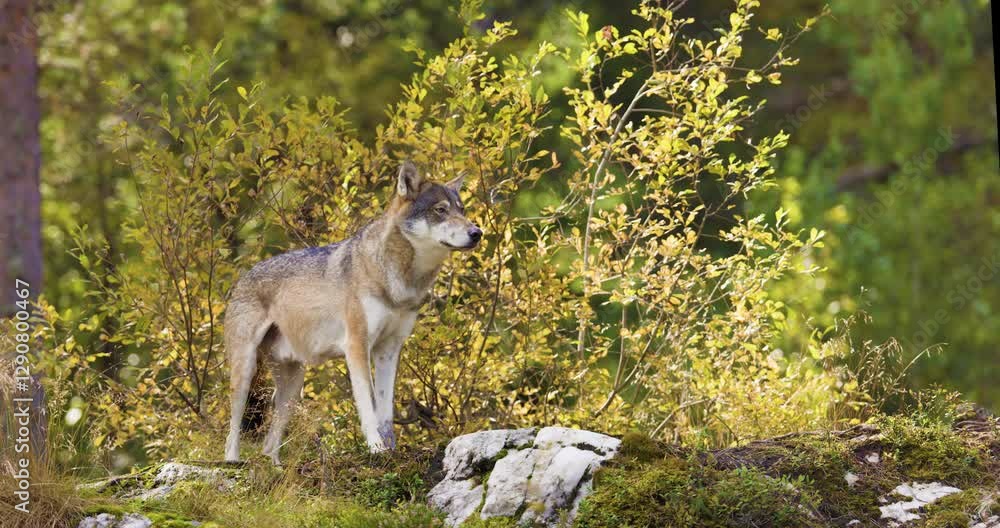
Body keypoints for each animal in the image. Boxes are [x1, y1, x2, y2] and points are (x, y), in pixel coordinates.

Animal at [223, 161, 482, 464]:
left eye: (461, 209)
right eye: (440, 210)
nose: (477, 232)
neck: (399, 279)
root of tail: (242, 278)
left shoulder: (389, 349)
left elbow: (385, 409)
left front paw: (390, 450)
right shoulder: (357, 346)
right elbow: (368, 405)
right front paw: (375, 448)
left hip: (293, 386)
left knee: (269, 443)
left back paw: (275, 466)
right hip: (246, 371)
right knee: (232, 429)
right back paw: (232, 463)